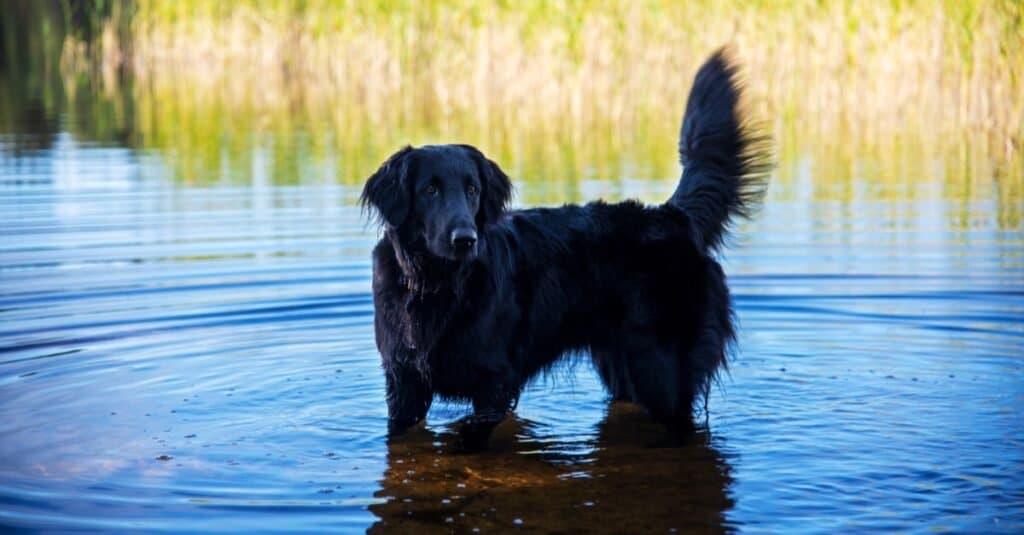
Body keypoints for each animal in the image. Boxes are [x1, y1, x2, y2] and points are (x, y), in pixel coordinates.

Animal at [360, 48, 770, 440]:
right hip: (622, 365)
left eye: (473, 190)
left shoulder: (494, 384)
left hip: (664, 372)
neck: (436, 283)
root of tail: (675, 214)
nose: (465, 239)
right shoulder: (404, 382)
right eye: (429, 190)